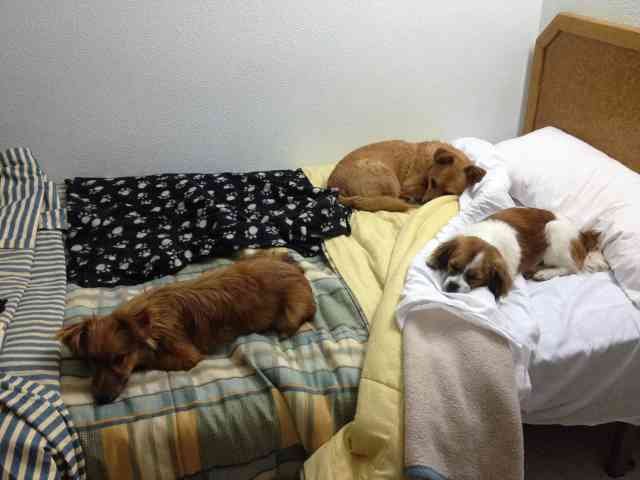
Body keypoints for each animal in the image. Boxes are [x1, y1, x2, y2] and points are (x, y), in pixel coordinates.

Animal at [56, 253, 316, 404]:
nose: (100, 399)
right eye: (92, 361)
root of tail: (295, 270)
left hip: (289, 314)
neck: (153, 317)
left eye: (120, 359)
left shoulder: (187, 356)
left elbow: (151, 358)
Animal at [328, 140, 488, 213]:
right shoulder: (408, 185)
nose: (425, 203)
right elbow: (417, 190)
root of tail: (333, 188)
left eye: (448, 193)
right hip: (388, 177)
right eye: (433, 182)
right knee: (394, 198)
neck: (430, 162)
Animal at [428, 207, 608, 298]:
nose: (453, 285)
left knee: (572, 268)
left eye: (474, 278)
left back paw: (544, 273)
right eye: (452, 266)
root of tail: (581, 235)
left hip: (554, 229)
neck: (489, 239)